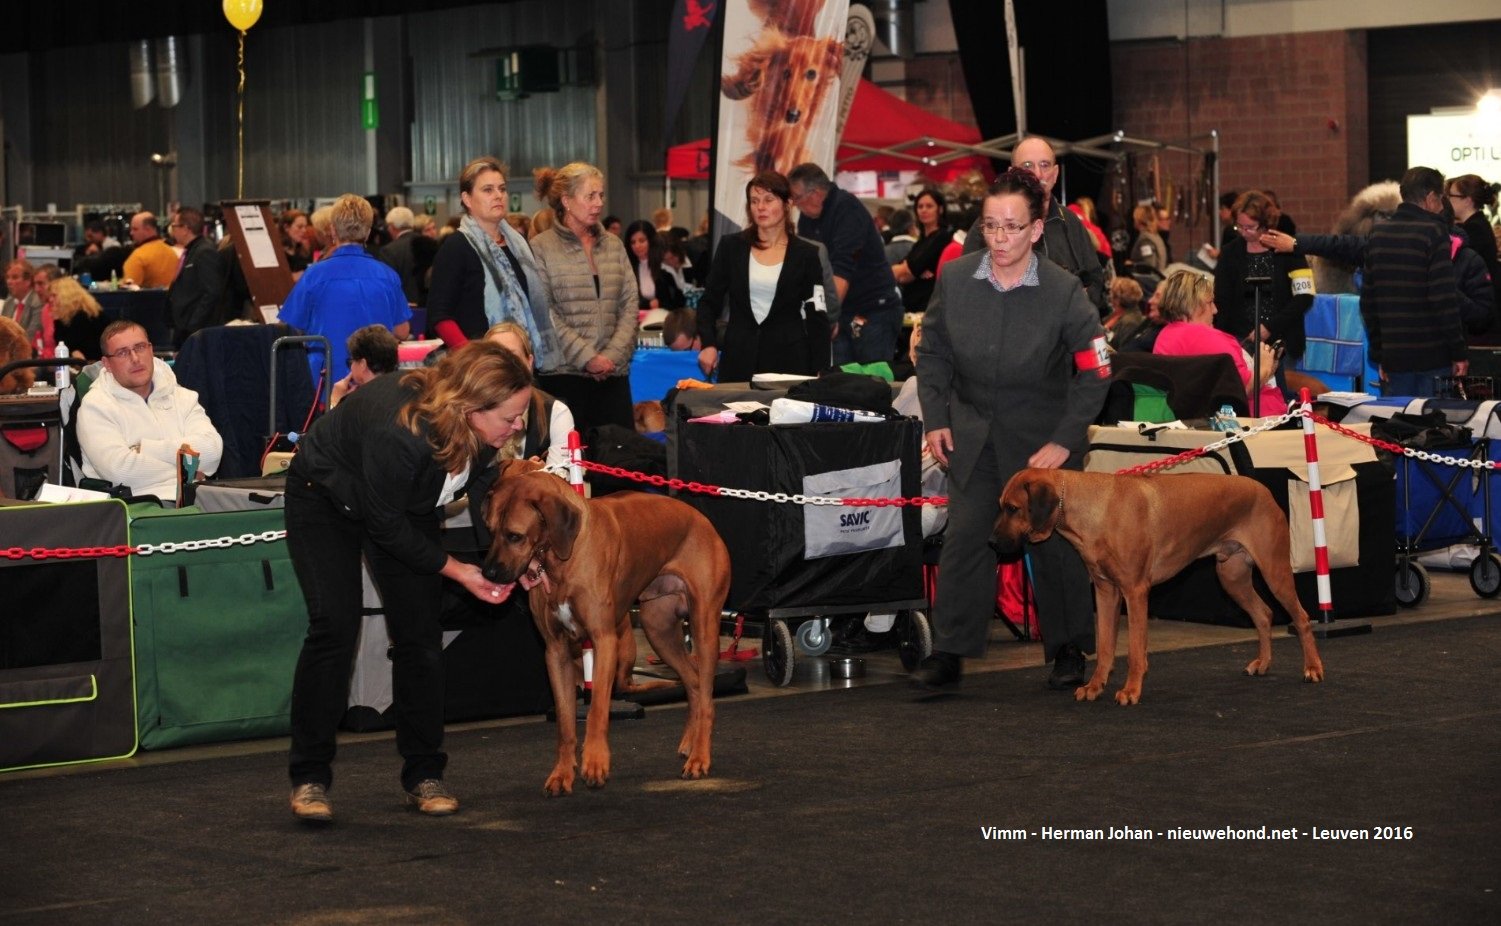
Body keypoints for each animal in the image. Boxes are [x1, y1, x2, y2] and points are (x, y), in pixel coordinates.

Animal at [483, 468, 729, 792]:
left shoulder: (604, 641)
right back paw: (691, 743)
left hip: (704, 626)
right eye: (490, 531)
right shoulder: (556, 651)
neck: (561, 559)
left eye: (514, 536)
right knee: (695, 684)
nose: (488, 573)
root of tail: (702, 519)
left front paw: (595, 762)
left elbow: (598, 708)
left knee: (708, 695)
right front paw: (562, 773)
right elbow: (565, 723)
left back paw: (700, 757)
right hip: (658, 628)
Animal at [996, 474, 1326, 705]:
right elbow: (1105, 648)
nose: (992, 541)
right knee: (1264, 614)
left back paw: (1312, 668)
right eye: (1002, 506)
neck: (1096, 507)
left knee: (1301, 617)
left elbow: (1134, 651)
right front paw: (1094, 686)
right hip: (1232, 576)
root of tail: (1263, 490)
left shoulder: (1135, 591)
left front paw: (1130, 691)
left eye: (1012, 508)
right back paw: (1264, 663)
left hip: (1274, 569)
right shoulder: (1106, 592)